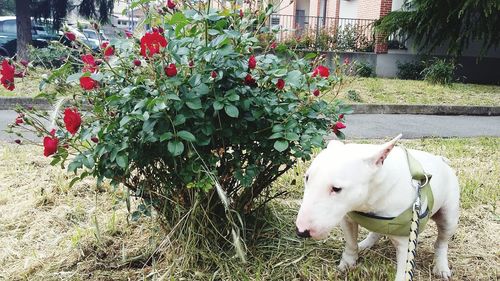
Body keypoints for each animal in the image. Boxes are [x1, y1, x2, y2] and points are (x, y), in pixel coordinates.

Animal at [294, 135, 458, 278]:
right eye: (307, 178)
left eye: (336, 188)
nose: (302, 232)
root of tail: (441, 160)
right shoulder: (347, 218)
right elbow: (350, 242)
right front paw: (347, 263)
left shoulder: (406, 239)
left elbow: (405, 269)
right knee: (377, 231)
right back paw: (364, 245)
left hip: (449, 214)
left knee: (442, 241)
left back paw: (441, 268)